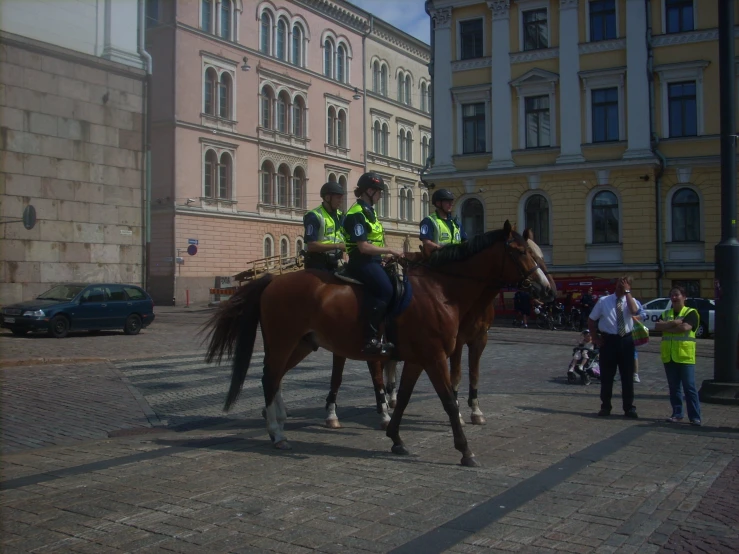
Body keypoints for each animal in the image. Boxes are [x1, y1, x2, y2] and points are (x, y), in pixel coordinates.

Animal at [205, 222, 552, 464]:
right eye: (520, 252)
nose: (546, 290)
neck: (439, 289)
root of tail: (273, 281)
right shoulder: (435, 356)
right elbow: (448, 401)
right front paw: (465, 450)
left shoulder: (418, 358)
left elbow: (406, 397)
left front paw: (396, 437)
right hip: (283, 342)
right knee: (269, 378)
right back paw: (277, 432)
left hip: (302, 344)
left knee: (274, 377)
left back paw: (278, 422)